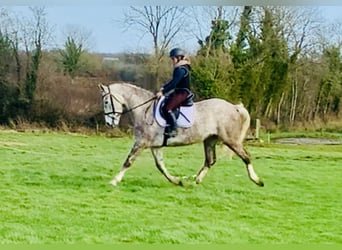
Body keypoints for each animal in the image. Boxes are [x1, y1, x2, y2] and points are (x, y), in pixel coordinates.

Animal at [99, 82, 264, 188]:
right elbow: (161, 166)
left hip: (231, 140)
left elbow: (128, 161)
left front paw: (114, 181)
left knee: (246, 157)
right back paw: (195, 180)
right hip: (210, 140)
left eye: (106, 101)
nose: (109, 123)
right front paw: (177, 181)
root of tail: (235, 107)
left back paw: (257, 180)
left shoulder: (141, 143)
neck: (145, 110)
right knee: (210, 161)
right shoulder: (155, 146)